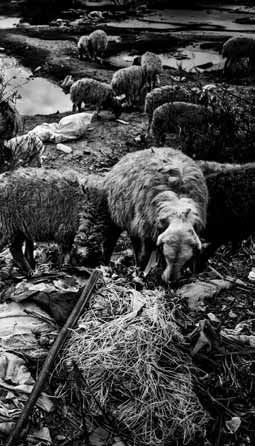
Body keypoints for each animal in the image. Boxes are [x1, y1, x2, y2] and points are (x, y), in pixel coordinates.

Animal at [101, 148, 207, 284]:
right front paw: (141, 271)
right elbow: (144, 253)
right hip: (124, 220)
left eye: (185, 260)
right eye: (166, 256)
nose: (170, 281)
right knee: (124, 242)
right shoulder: (146, 230)